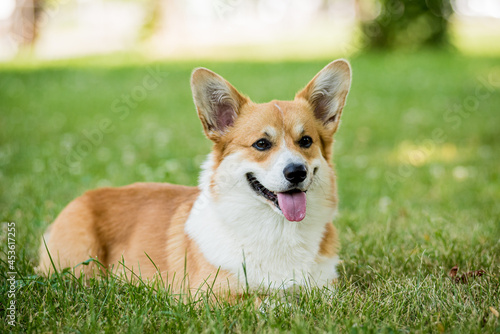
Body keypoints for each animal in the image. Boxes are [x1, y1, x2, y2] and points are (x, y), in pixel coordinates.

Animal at [38, 58, 352, 294]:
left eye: (306, 141)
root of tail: (86, 195)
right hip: (81, 266)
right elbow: (272, 302)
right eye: (262, 144)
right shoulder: (212, 297)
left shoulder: (328, 289)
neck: (277, 229)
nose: (297, 172)